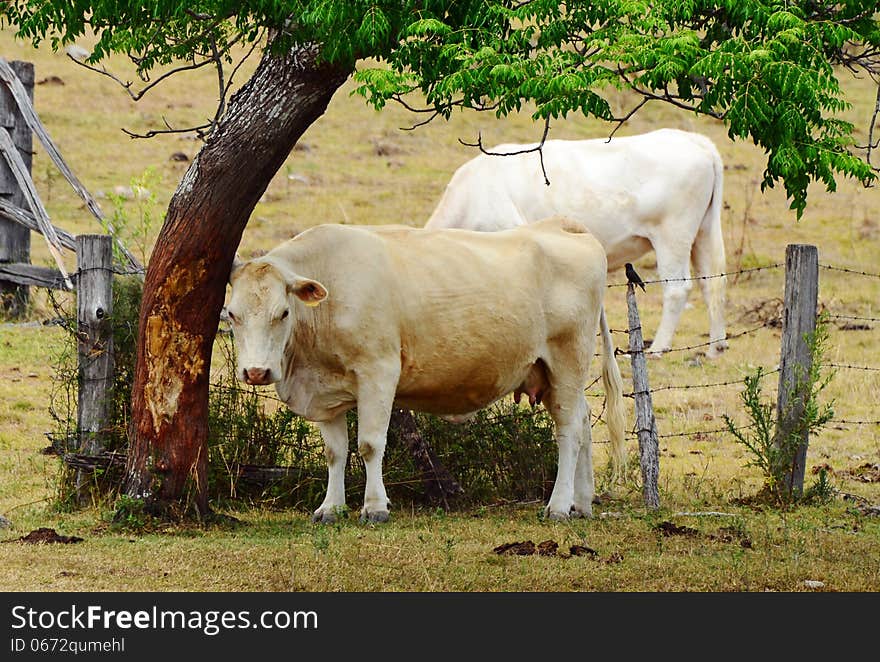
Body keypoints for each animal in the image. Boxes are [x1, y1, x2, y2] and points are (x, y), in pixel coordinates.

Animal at [227, 220, 624, 528]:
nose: (256, 371)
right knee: (584, 420)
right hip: (556, 374)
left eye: (282, 313)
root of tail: (560, 225)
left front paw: (375, 507)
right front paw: (331, 508)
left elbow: (370, 444)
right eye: (231, 314)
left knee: (569, 431)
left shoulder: (378, 372)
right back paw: (581, 503)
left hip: (568, 359)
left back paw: (558, 506)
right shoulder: (325, 389)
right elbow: (335, 452)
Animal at [426, 127, 728, 360]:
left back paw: (658, 348)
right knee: (712, 283)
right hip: (702, 233)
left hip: (672, 234)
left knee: (678, 289)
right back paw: (716, 347)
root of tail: (693, 140)